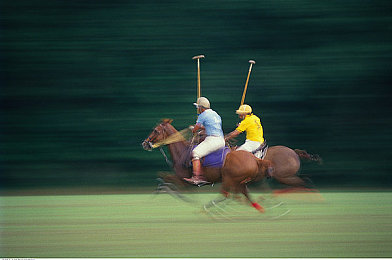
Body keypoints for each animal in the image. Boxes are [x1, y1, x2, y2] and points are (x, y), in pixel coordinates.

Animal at [142, 119, 322, 212]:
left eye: (156, 130)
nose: (144, 143)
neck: (183, 152)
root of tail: (294, 152)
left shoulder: (183, 179)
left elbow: (166, 180)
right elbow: (163, 178)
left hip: (284, 176)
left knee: (302, 182)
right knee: (303, 182)